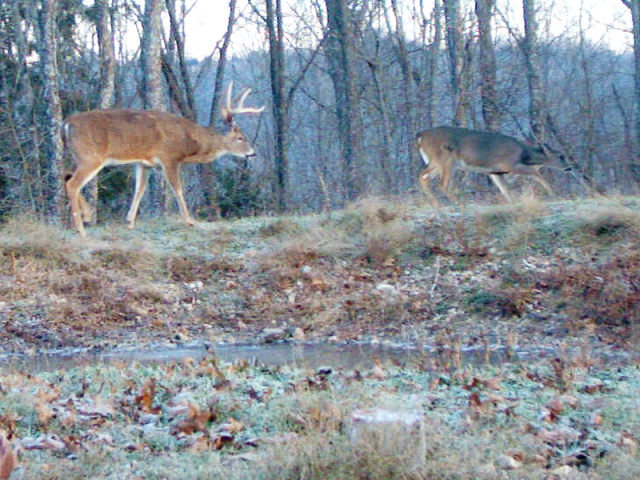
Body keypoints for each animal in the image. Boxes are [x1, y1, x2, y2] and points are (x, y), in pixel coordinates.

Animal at [63, 85, 264, 239]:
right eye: (240, 138)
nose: (253, 153)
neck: (190, 142)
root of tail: (67, 123)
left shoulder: (144, 163)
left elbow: (139, 190)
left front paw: (130, 222)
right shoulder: (169, 157)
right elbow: (178, 189)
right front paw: (189, 221)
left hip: (78, 156)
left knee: (66, 176)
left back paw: (87, 216)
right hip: (91, 157)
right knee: (73, 184)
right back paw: (81, 229)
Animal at [416, 125, 568, 208]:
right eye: (561, 156)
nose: (569, 168)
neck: (523, 154)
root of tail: (421, 135)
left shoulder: (495, 172)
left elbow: (504, 190)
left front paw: (512, 203)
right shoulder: (509, 164)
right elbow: (535, 173)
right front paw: (552, 193)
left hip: (436, 162)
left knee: (423, 176)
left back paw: (437, 206)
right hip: (447, 159)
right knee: (443, 183)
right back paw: (460, 205)